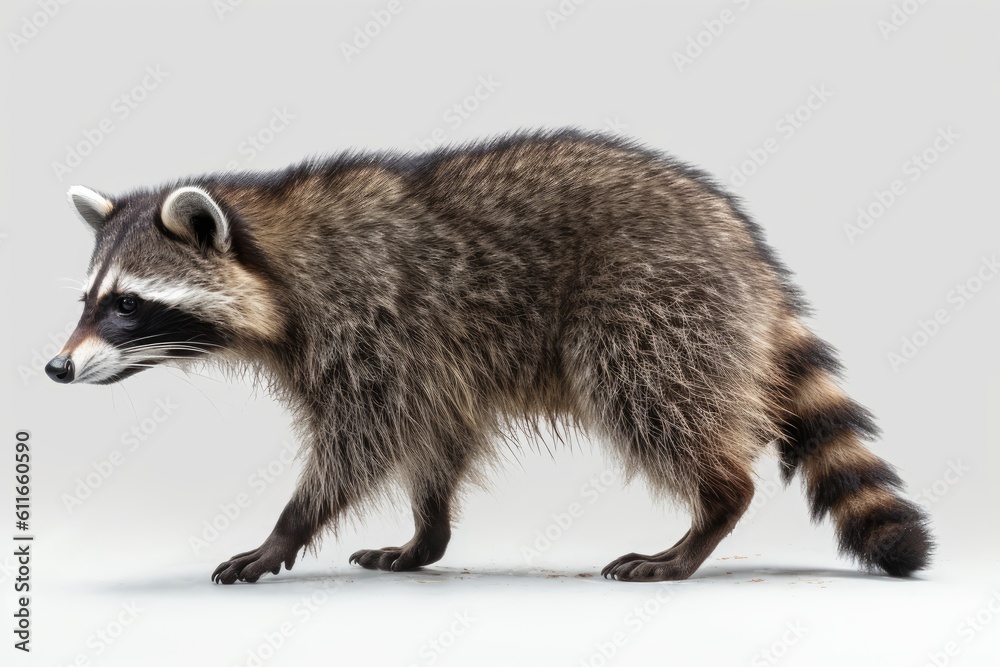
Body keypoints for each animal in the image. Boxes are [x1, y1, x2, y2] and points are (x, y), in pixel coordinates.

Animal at [47, 130, 931, 584]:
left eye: (127, 304)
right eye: (88, 299)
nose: (55, 368)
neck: (274, 241)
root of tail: (751, 256)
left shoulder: (372, 322)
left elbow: (360, 442)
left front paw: (285, 529)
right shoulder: (431, 362)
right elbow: (435, 438)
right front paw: (428, 530)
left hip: (653, 307)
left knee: (653, 401)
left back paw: (709, 513)